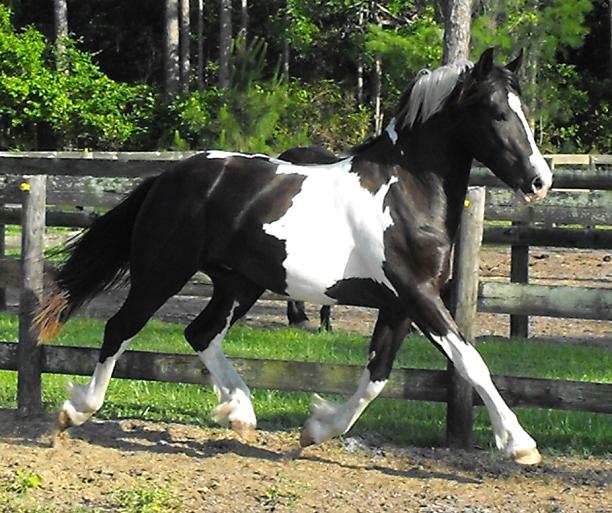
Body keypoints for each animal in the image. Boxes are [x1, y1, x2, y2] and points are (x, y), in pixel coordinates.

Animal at [37, 51, 556, 464]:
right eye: (495, 112)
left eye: (523, 109)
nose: (539, 181)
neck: (403, 193)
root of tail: (169, 177)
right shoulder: (418, 296)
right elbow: (470, 362)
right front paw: (521, 445)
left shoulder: (398, 305)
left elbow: (377, 376)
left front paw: (316, 429)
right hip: (163, 271)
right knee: (120, 328)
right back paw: (75, 412)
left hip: (239, 282)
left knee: (200, 333)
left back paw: (240, 413)